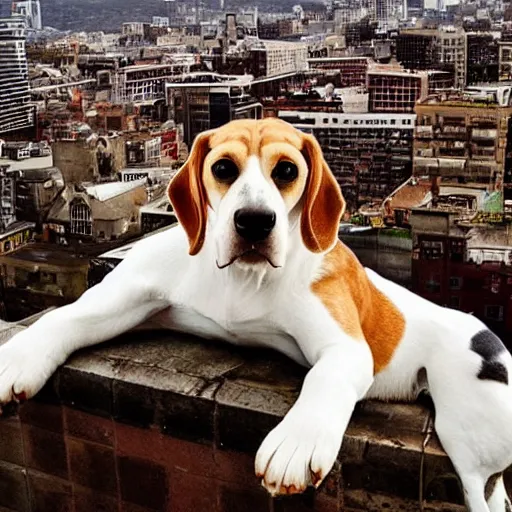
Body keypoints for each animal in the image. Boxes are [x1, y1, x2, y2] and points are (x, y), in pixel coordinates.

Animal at [1, 118, 512, 510]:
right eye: (223, 168)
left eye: (286, 170)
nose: (253, 221)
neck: (243, 278)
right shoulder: (132, 295)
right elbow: (65, 317)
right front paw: (18, 358)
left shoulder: (345, 347)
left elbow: (324, 376)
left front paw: (298, 440)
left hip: (466, 439)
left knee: (484, 492)